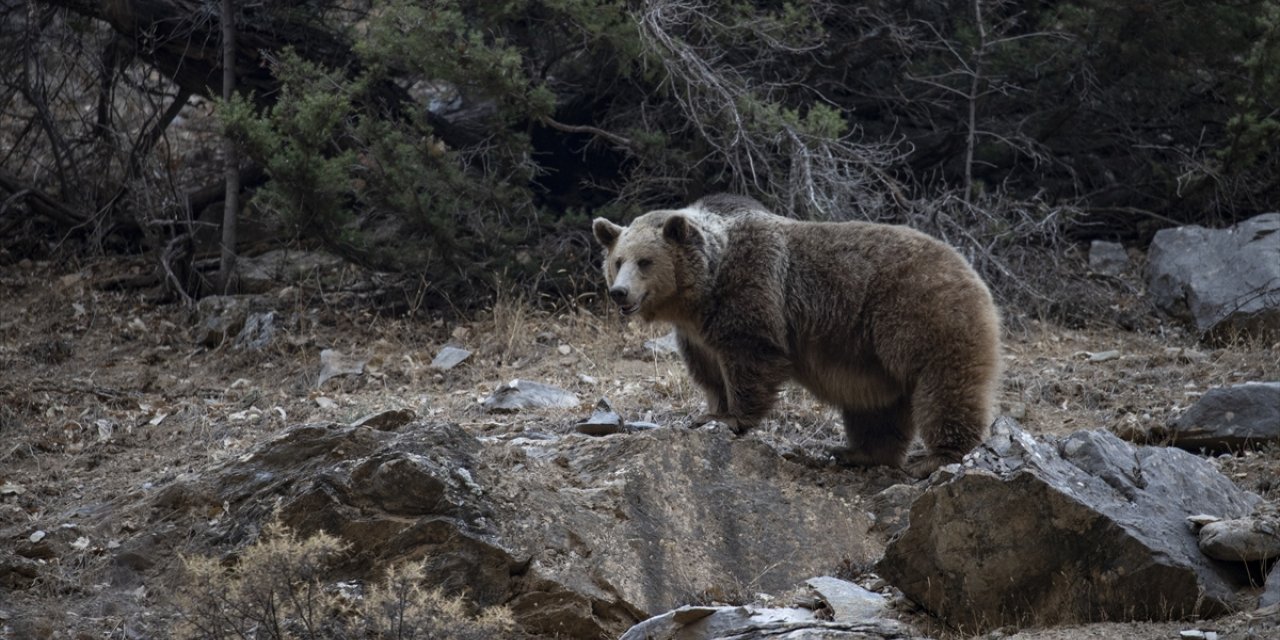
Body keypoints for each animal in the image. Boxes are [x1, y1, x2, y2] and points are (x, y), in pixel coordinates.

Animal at [593, 192, 1003, 478]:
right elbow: (710, 374)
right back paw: (855, 452)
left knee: (943, 383)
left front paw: (731, 418)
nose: (620, 293)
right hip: (874, 356)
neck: (703, 290)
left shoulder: (752, 293)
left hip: (920, 315)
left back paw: (935, 457)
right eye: (617, 260)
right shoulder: (696, 334)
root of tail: (969, 267)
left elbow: (751, 356)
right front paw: (708, 412)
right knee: (878, 408)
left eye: (645, 261)